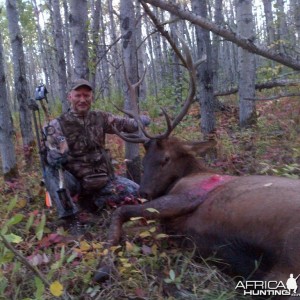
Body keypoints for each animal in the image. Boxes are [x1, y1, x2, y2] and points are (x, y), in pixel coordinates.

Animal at [94, 137, 300, 284]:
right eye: (144, 160)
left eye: (166, 158)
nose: (143, 191)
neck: (192, 172)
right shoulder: (169, 227)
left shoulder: (187, 195)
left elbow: (120, 211)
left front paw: (103, 267)